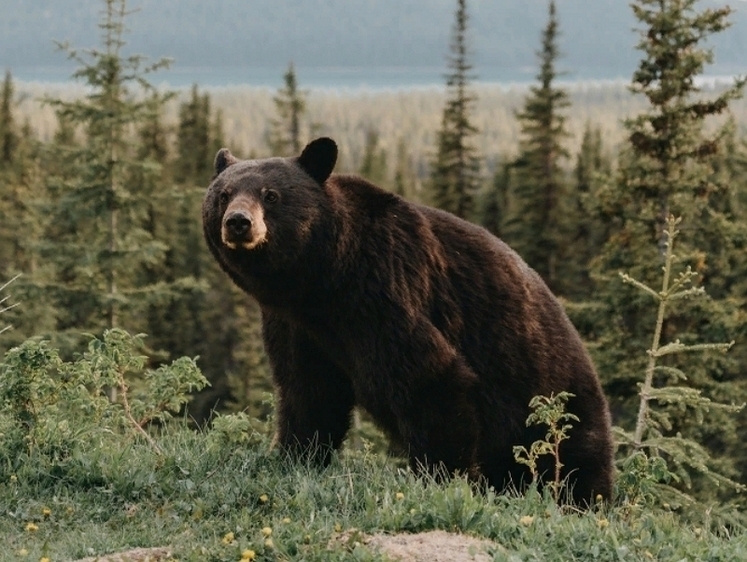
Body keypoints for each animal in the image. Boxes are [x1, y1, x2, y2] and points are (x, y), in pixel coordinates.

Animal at [203, 137, 612, 504]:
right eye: (223, 195)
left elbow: (430, 379)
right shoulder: (296, 325)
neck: (323, 281)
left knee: (576, 463)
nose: (238, 223)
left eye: (271, 195)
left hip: (553, 402)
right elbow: (308, 391)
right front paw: (295, 456)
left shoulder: (385, 292)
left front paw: (443, 478)